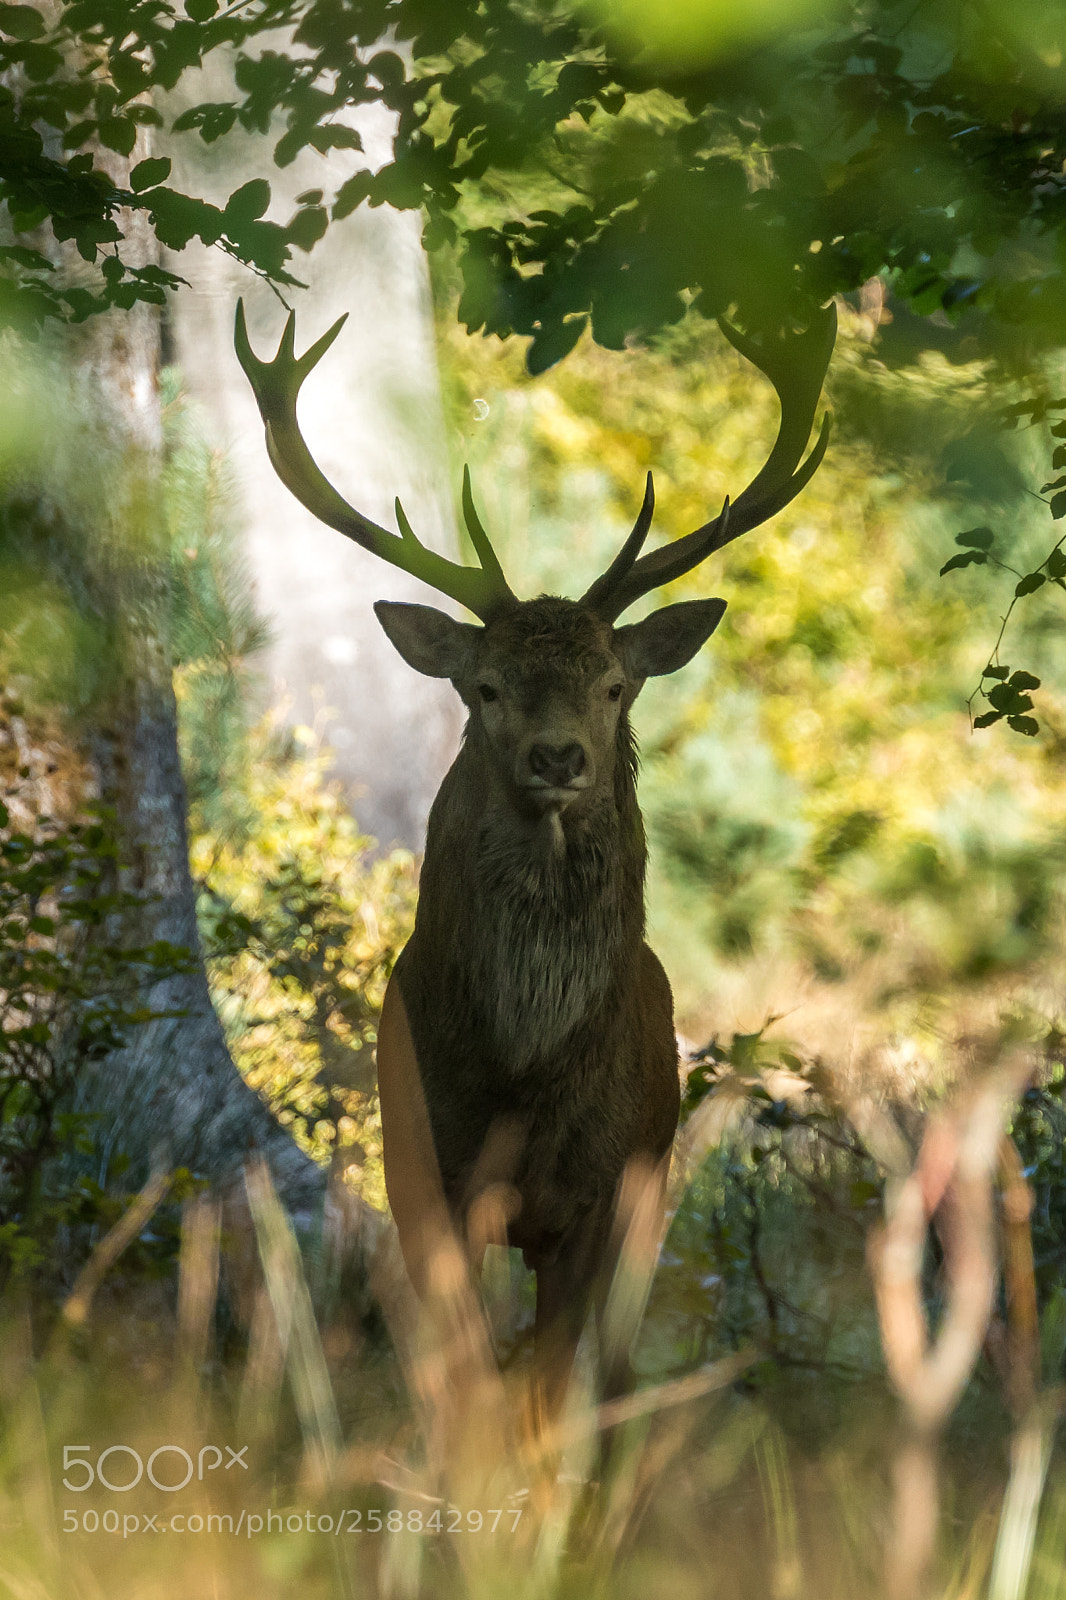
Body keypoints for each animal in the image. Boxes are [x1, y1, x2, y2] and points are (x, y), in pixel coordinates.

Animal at [235, 298, 835, 1425]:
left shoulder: (602, 1196)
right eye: (484, 687)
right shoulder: (428, 1170)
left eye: (613, 684)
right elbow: (464, 1377)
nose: (558, 758)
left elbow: (550, 1387)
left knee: (613, 1367)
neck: (524, 1075)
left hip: (654, 1182)